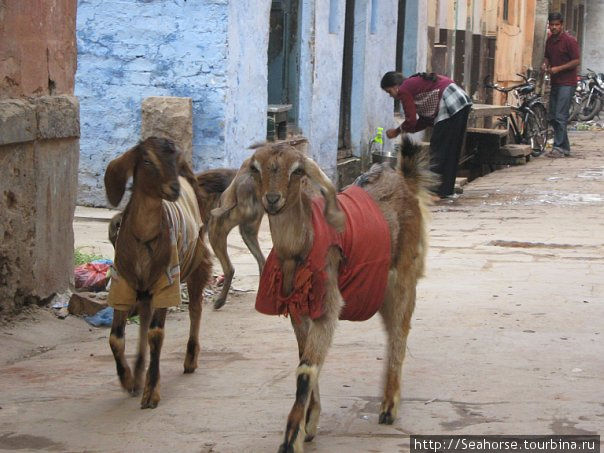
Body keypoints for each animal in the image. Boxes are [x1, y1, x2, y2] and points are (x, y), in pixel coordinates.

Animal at [105, 136, 212, 408]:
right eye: (146, 160)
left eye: (175, 159)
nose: (174, 189)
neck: (144, 238)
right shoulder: (122, 283)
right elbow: (115, 338)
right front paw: (128, 379)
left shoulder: (167, 281)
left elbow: (156, 334)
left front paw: (151, 391)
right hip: (144, 289)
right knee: (144, 316)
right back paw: (138, 370)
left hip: (198, 262)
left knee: (195, 309)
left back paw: (190, 357)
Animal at [219, 137, 432, 448]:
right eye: (256, 168)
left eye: (297, 170)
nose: (272, 199)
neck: (300, 247)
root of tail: (406, 181)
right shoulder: (297, 308)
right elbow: (305, 359)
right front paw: (309, 423)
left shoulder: (327, 306)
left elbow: (306, 369)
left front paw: (290, 440)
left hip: (403, 277)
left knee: (399, 333)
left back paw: (388, 407)